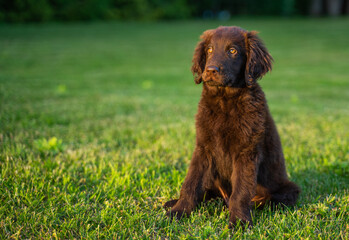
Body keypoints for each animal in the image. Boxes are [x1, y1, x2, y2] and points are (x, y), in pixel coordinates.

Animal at [164, 26, 300, 229]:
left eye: (233, 51)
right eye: (209, 50)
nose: (211, 70)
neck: (225, 100)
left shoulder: (246, 151)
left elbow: (241, 191)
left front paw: (239, 222)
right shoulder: (203, 148)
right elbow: (191, 183)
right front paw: (178, 211)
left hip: (288, 189)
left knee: (269, 200)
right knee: (209, 193)